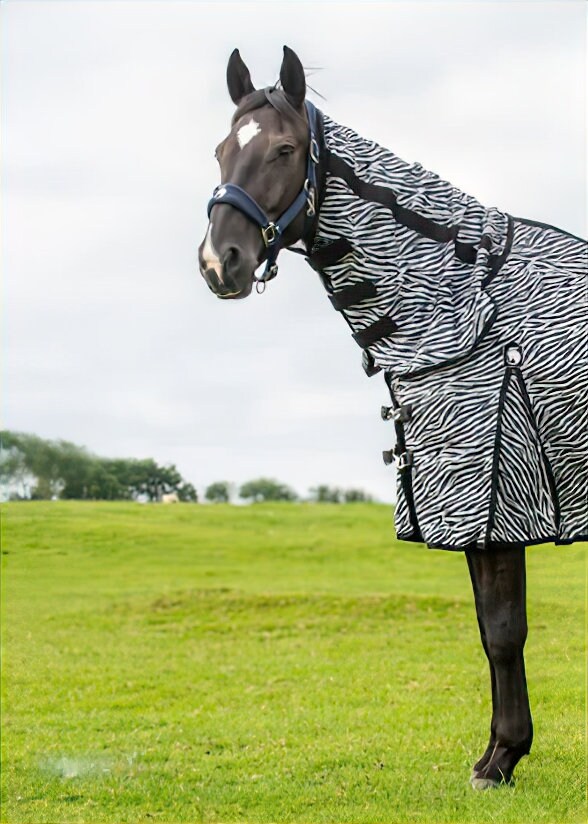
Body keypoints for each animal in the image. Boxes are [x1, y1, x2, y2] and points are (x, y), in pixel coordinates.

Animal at [198, 46, 587, 788]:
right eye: (220, 152)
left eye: (284, 149)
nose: (217, 262)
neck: (470, 304)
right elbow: (488, 630)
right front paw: (499, 751)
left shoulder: (492, 500)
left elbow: (504, 631)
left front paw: (502, 758)